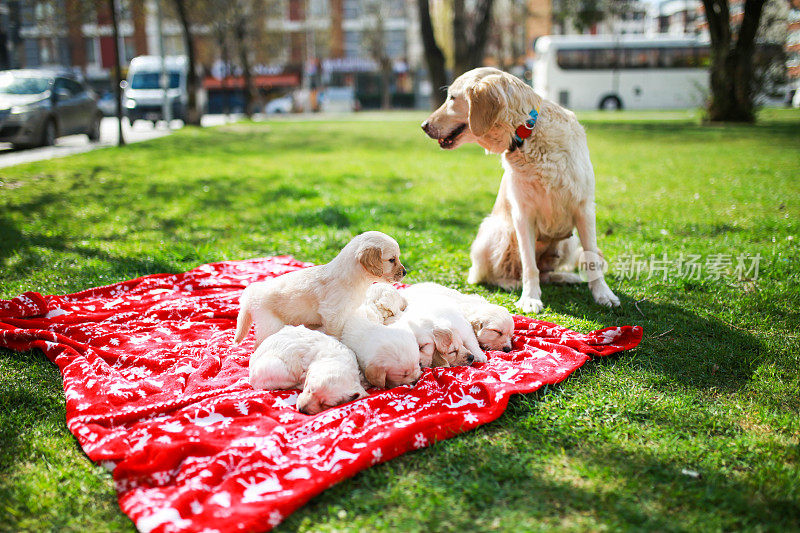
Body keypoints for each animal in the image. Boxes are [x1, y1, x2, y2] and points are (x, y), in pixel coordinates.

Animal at [231, 230, 406, 350]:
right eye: (392, 260)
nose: (405, 272)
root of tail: (251, 292)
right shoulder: (333, 314)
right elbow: (336, 333)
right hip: (270, 324)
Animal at [422, 68, 620, 314]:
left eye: (452, 98)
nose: (423, 125)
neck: (526, 134)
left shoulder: (584, 209)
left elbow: (591, 258)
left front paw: (603, 294)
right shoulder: (523, 215)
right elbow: (529, 265)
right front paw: (530, 298)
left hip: (568, 239)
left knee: (547, 273)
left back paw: (565, 277)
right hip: (497, 230)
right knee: (491, 276)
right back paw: (512, 284)